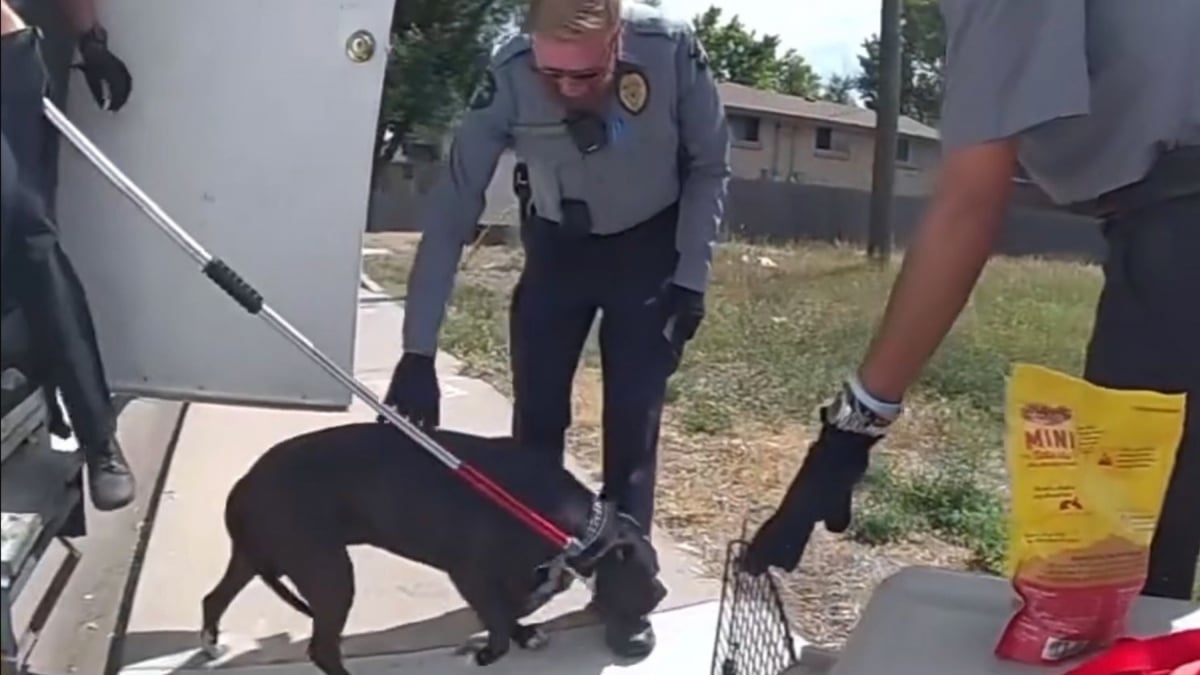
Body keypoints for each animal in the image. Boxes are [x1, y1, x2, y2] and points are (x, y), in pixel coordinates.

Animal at [196, 422, 667, 667]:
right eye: (649, 572)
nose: (663, 593)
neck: (576, 526)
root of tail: (244, 485)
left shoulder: (510, 577)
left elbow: (506, 611)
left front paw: (522, 634)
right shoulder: (472, 574)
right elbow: (496, 618)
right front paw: (492, 652)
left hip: (257, 555)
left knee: (213, 597)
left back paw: (210, 641)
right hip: (328, 571)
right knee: (322, 648)